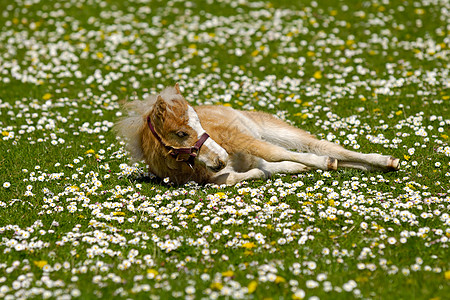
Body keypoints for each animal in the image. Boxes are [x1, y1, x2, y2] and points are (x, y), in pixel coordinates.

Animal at [115, 83, 398, 184]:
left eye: (200, 124)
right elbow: (234, 177)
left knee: (325, 147)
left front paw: (321, 164)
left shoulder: (239, 139)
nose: (221, 159)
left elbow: (273, 153)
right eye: (182, 133)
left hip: (272, 129)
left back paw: (386, 161)